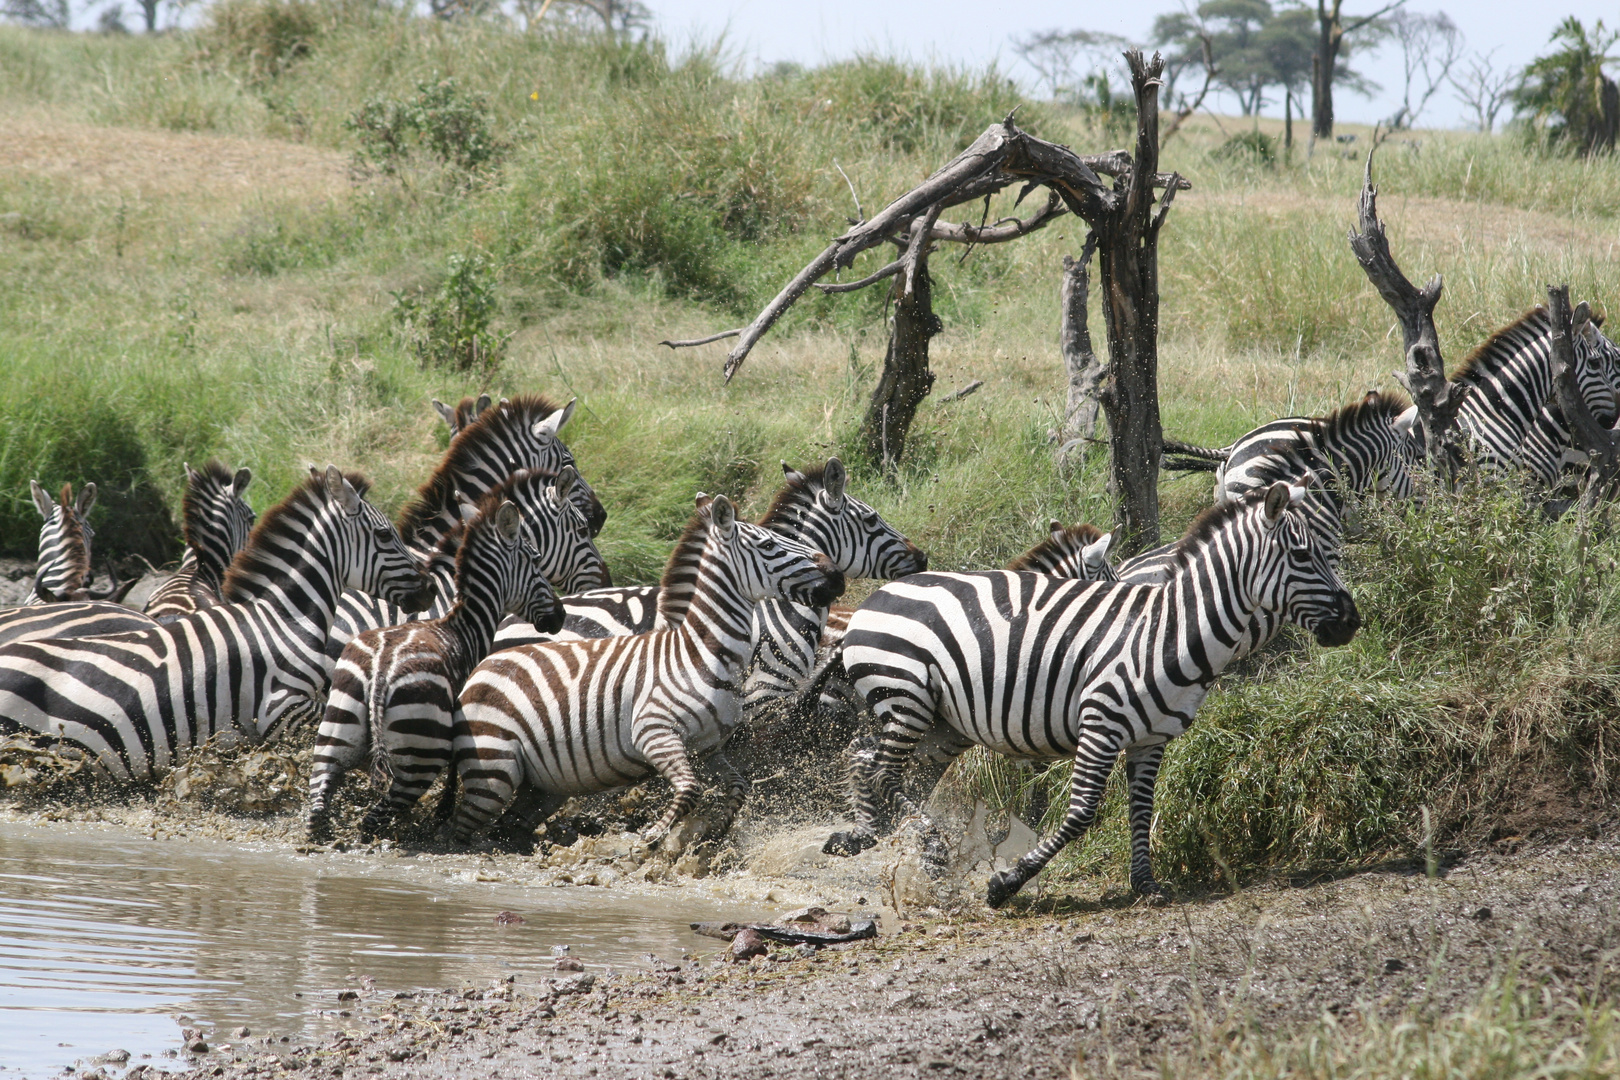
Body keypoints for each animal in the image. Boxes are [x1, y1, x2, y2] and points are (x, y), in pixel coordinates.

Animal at [304, 495, 570, 841]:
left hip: (334, 728)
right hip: (423, 753)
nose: (560, 616)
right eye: (536, 560)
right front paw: (442, 813)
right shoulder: (463, 717)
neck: (462, 626)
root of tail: (381, 668)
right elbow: (456, 771)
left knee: (318, 803)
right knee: (375, 818)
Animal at [450, 495, 842, 848]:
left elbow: (738, 788)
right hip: (493, 766)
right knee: (459, 828)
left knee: (510, 825)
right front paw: (651, 837)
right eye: (768, 544)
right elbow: (690, 789)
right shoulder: (653, 731)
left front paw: (714, 833)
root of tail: (483, 664)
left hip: (544, 785)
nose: (836, 576)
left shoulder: (707, 749)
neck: (700, 654)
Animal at [816, 482, 1360, 906]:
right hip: (906, 697)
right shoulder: (1100, 723)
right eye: (1303, 555)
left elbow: (1142, 810)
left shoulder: (1152, 739)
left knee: (870, 758)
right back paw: (929, 845)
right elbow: (1081, 813)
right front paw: (1006, 884)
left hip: (940, 722)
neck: (1169, 633)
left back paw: (885, 839)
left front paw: (1146, 885)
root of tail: (878, 595)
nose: (1352, 622)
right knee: (885, 770)